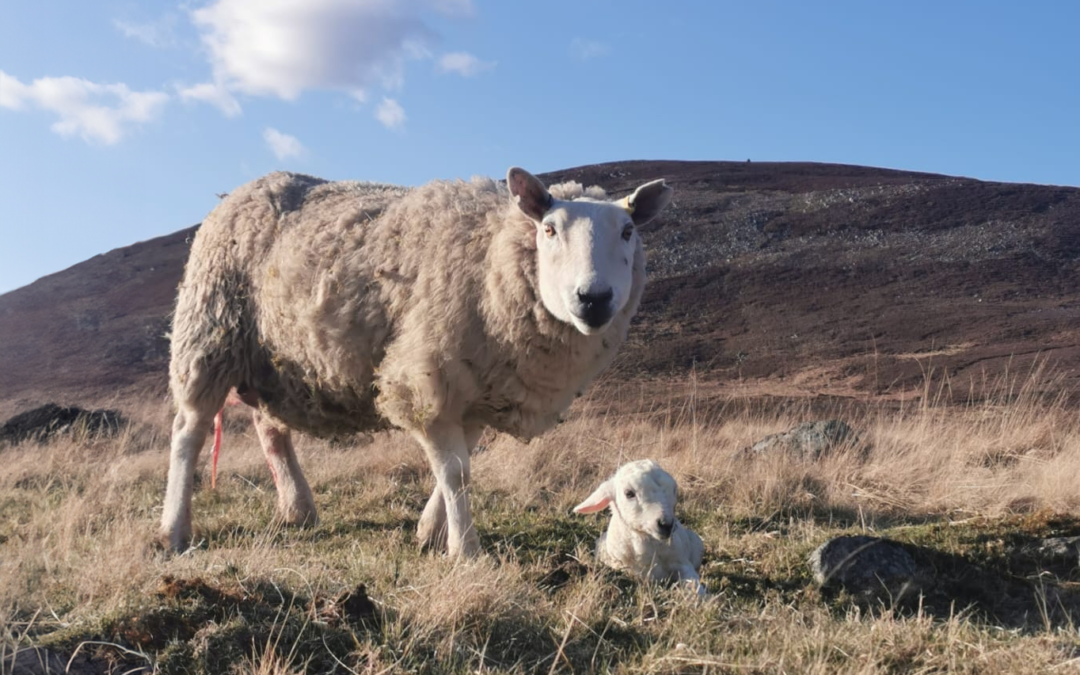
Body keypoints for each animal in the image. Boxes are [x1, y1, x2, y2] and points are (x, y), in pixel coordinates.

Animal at [157, 166, 669, 557]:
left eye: (628, 232)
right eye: (549, 229)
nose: (594, 298)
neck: (489, 255)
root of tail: (241, 191)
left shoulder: (478, 391)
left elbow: (459, 467)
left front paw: (430, 531)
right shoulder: (428, 378)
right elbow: (456, 472)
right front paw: (465, 550)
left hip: (275, 362)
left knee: (270, 430)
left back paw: (297, 508)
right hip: (209, 332)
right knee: (189, 430)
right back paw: (174, 530)